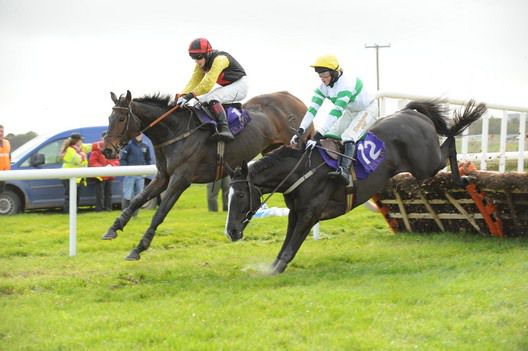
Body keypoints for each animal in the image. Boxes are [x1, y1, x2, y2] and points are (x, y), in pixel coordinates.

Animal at [102, 91, 306, 262]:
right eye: (109, 118)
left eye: (121, 119)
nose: (107, 150)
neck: (175, 132)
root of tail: (295, 99)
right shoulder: (163, 176)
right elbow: (137, 200)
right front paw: (112, 229)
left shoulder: (180, 179)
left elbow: (159, 213)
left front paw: (138, 248)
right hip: (272, 149)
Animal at [224, 99, 486, 276]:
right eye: (228, 196)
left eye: (240, 194)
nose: (231, 232)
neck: (300, 170)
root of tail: (410, 112)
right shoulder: (296, 211)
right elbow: (286, 245)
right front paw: (271, 267)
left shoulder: (310, 213)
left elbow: (291, 247)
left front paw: (273, 271)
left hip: (425, 165)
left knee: (449, 144)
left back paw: (464, 171)